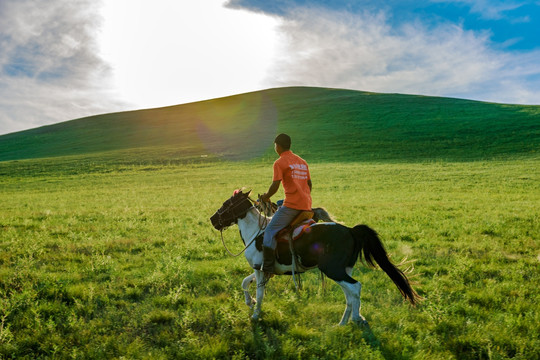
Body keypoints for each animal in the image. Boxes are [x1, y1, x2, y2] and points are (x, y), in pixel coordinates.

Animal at [209, 190, 420, 324]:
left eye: (227, 204)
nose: (212, 220)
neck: (256, 232)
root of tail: (351, 231)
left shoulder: (261, 269)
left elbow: (260, 293)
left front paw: (255, 315)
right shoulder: (263, 269)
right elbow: (245, 282)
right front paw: (249, 302)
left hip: (333, 270)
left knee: (355, 287)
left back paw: (355, 319)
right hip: (344, 270)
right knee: (349, 294)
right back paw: (343, 323)